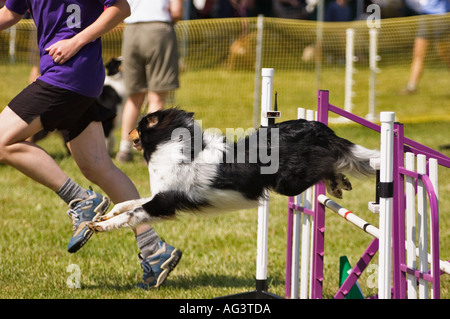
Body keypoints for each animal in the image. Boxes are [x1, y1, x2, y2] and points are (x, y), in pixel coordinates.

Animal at [87, 109, 376, 232]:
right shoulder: (161, 195)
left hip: (288, 182)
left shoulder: (163, 203)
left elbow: (132, 213)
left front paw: (99, 226)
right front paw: (105, 215)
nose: (126, 131)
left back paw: (337, 181)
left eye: (138, 126)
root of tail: (316, 126)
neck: (170, 146)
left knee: (328, 162)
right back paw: (339, 183)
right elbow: (128, 203)